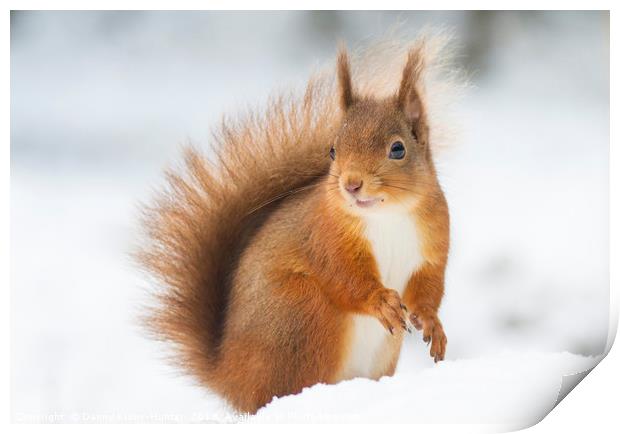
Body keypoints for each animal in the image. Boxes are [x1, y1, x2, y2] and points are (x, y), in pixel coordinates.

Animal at [139, 39, 450, 414]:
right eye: (332, 151)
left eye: (398, 149)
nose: (351, 184)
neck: (386, 216)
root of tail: (229, 378)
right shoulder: (324, 237)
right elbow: (345, 278)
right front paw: (381, 301)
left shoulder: (433, 243)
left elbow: (428, 288)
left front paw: (432, 323)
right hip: (302, 314)